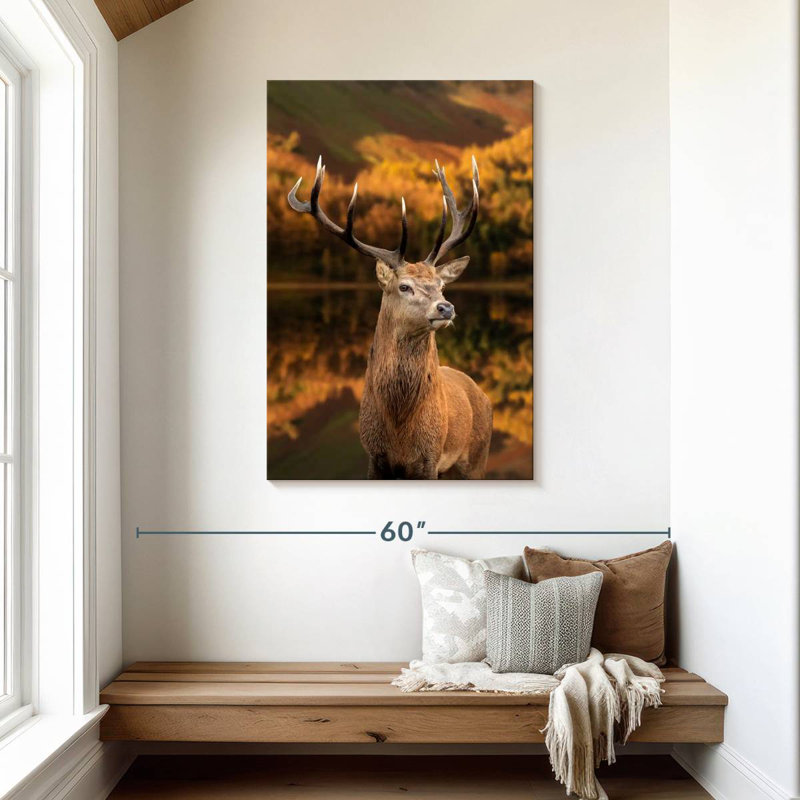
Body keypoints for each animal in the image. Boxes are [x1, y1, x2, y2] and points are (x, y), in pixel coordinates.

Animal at [287, 156, 492, 479]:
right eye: (404, 286)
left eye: (442, 285)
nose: (445, 307)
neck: (399, 432)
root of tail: (482, 394)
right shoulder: (374, 456)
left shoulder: (430, 459)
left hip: (476, 457)